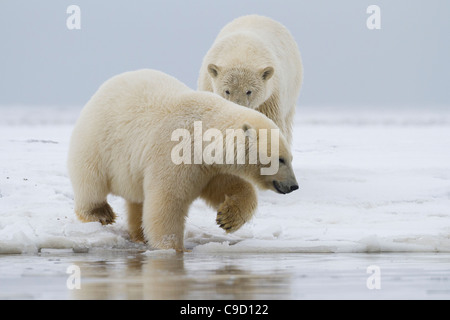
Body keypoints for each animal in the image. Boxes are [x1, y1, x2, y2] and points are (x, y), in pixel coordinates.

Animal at [67, 69, 298, 251]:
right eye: (280, 159)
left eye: (290, 157)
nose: (293, 186)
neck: (202, 130)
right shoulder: (176, 154)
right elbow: (167, 201)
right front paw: (174, 248)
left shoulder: (208, 165)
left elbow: (227, 186)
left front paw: (227, 219)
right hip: (97, 141)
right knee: (91, 181)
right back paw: (101, 214)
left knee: (137, 199)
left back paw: (139, 234)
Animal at [198, 14, 300, 144]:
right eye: (227, 91)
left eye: (249, 91)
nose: (239, 109)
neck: (241, 53)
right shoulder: (209, 86)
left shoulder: (270, 98)